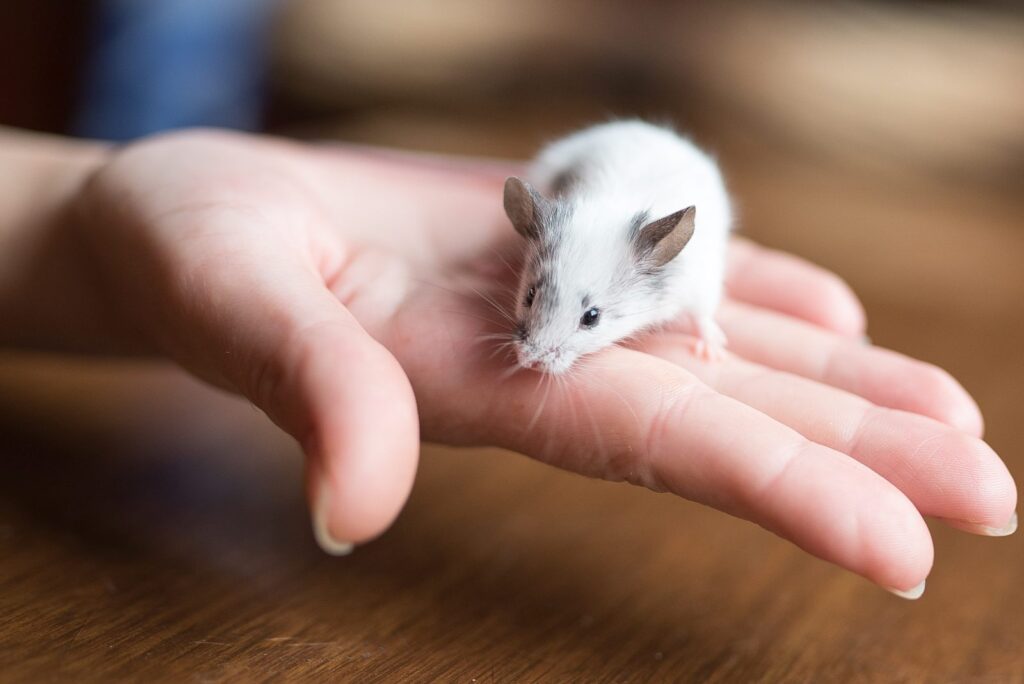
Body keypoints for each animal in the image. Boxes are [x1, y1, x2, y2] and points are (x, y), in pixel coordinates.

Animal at [501, 117, 729, 374]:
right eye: (530, 295)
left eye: (592, 317)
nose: (531, 363)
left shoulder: (701, 284)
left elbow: (703, 316)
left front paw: (713, 354)